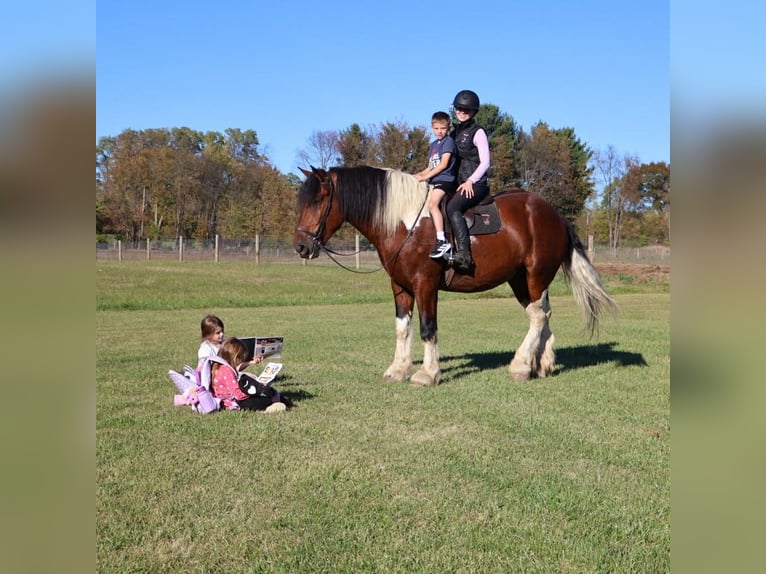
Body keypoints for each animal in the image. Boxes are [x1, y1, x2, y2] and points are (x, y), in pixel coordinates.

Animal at [294, 165, 616, 386]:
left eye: (319, 201)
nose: (301, 246)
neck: (406, 222)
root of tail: (556, 216)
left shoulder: (425, 285)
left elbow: (427, 328)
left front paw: (427, 373)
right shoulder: (400, 286)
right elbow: (402, 328)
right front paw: (398, 369)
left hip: (535, 276)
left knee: (538, 316)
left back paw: (521, 366)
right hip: (522, 281)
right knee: (542, 314)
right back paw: (543, 364)